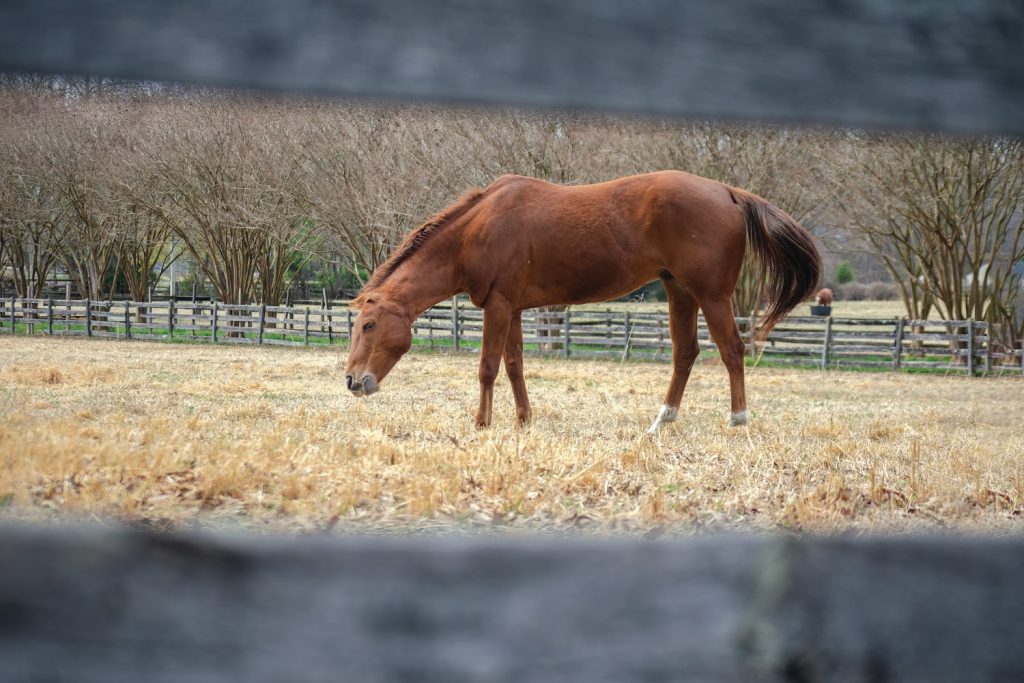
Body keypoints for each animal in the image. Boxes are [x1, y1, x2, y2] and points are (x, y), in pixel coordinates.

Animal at [345, 171, 821, 432]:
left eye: (368, 325)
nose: (352, 381)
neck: (476, 231)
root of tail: (728, 191)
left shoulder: (498, 307)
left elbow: (488, 367)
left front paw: (481, 423)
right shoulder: (512, 308)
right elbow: (515, 365)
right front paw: (524, 420)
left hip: (712, 295)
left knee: (732, 350)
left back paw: (737, 420)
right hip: (679, 291)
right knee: (685, 353)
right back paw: (660, 422)